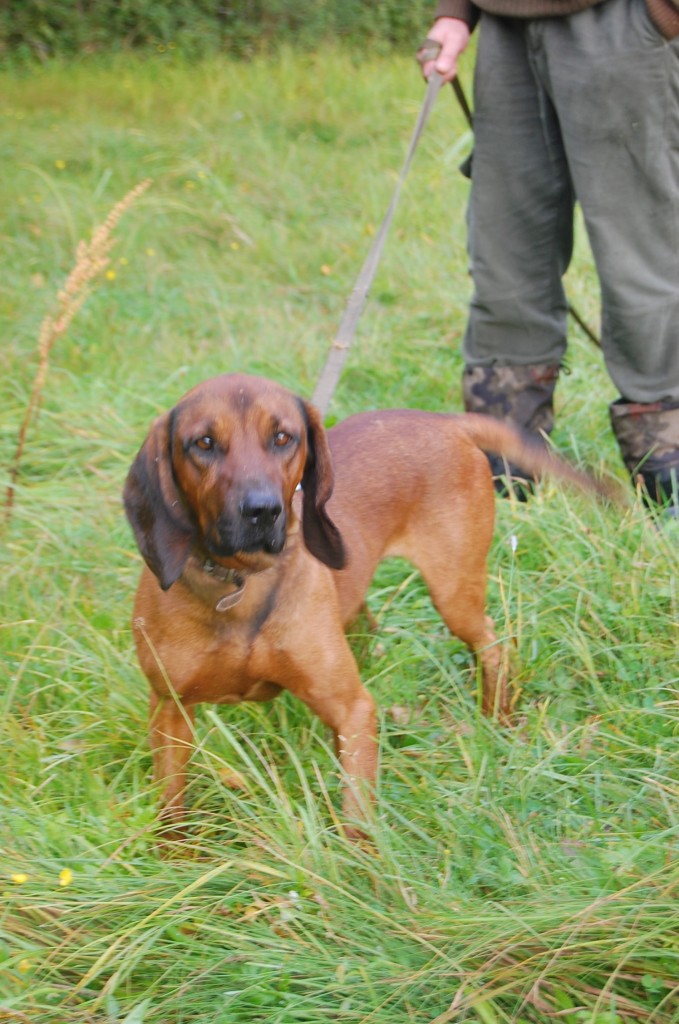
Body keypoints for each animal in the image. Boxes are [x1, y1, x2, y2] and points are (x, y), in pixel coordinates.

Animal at [124, 374, 606, 831]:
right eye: (203, 443)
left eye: (283, 437)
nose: (261, 510)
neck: (240, 584)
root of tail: (445, 420)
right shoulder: (169, 708)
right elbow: (171, 808)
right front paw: (176, 852)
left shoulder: (353, 710)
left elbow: (357, 814)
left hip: (456, 594)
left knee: (492, 645)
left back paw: (496, 718)